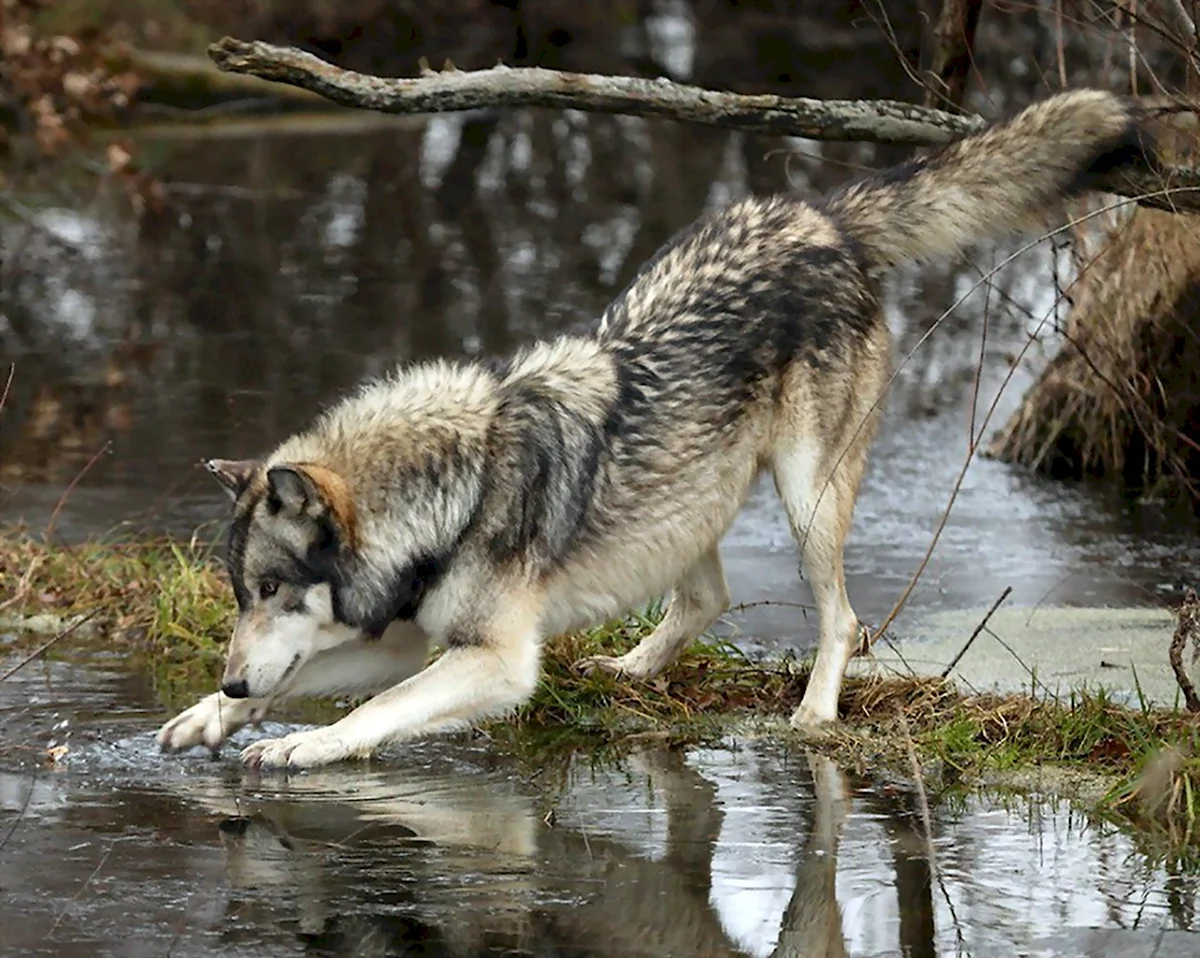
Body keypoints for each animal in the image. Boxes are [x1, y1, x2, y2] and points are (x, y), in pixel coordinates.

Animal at [157, 90, 1161, 773]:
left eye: (273, 587)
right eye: (240, 594)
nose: (235, 679)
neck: (451, 493)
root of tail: (821, 214)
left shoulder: (493, 662)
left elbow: (374, 709)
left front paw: (301, 746)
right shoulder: (407, 636)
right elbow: (316, 677)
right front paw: (212, 716)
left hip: (806, 497)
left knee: (842, 618)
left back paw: (813, 715)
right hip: (689, 496)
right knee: (708, 599)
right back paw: (634, 669)